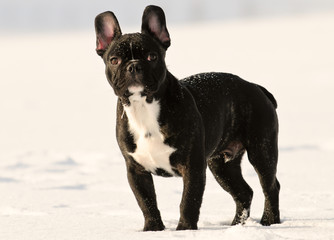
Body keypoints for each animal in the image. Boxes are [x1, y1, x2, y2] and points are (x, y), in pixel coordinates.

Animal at [95, 5, 280, 231]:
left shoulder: (192, 167)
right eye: (114, 60)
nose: (134, 65)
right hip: (221, 165)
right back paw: (235, 226)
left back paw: (269, 221)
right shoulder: (136, 171)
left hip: (261, 150)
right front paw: (153, 229)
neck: (144, 106)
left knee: (270, 186)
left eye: (152, 57)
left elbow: (189, 200)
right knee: (244, 192)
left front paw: (184, 230)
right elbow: (146, 201)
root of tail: (255, 87)